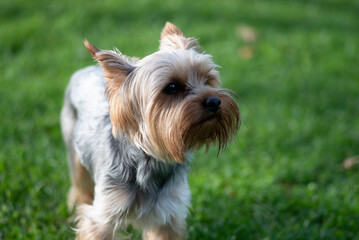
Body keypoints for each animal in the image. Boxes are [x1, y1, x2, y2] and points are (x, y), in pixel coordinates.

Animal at [61, 21, 242, 239]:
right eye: (172, 87)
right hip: (73, 149)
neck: (152, 162)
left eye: (208, 80)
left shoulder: (168, 214)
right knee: (80, 184)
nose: (215, 101)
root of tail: (85, 69)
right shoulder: (103, 215)